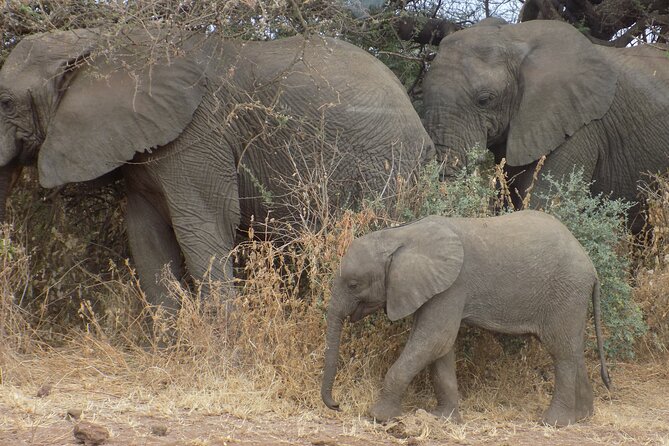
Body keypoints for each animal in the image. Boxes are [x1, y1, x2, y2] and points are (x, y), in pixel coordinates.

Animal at [0, 27, 434, 310]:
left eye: (5, 102)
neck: (101, 43)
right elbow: (146, 236)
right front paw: (172, 351)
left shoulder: (198, 135)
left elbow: (203, 228)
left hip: (383, 164)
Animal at [321, 210, 611, 427]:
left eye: (353, 285)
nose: (336, 405)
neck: (400, 236)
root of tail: (591, 266)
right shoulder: (434, 288)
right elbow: (440, 348)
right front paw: (442, 418)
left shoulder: (452, 286)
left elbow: (434, 339)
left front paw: (378, 417)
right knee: (573, 348)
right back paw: (582, 417)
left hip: (567, 291)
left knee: (561, 351)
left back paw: (554, 423)